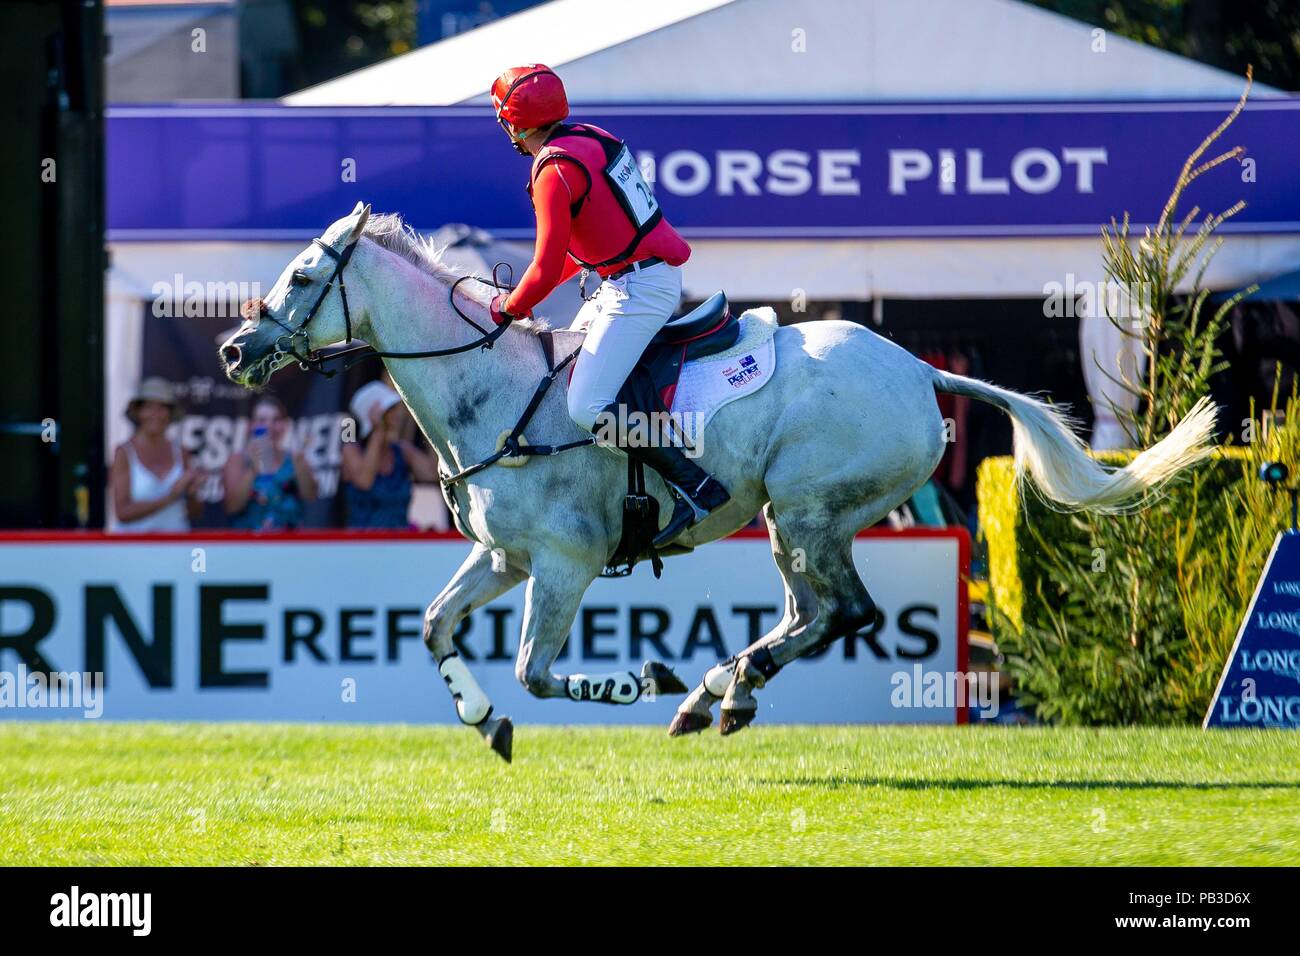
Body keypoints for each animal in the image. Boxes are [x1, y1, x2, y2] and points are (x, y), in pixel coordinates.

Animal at [220, 204, 1216, 764]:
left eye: (302, 276)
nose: (234, 350)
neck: (490, 391)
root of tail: (920, 370)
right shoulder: (505, 558)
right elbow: (434, 627)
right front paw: (483, 721)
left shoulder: (564, 565)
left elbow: (536, 671)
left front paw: (642, 678)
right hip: (788, 522)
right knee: (810, 615)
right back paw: (720, 694)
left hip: (811, 510)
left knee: (845, 613)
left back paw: (711, 690)